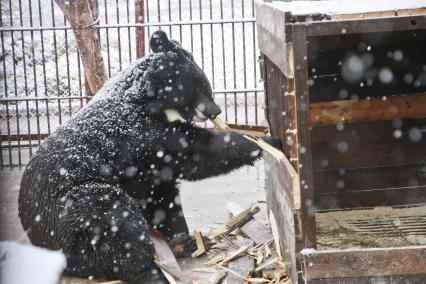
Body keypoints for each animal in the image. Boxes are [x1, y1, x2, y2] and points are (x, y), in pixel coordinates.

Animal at [18, 30, 282, 282]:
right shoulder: (138, 135)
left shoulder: (148, 168)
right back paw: (152, 271)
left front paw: (182, 238)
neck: (146, 101)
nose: (214, 110)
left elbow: (162, 195)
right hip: (78, 209)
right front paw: (268, 142)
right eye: (198, 86)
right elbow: (195, 151)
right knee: (117, 225)